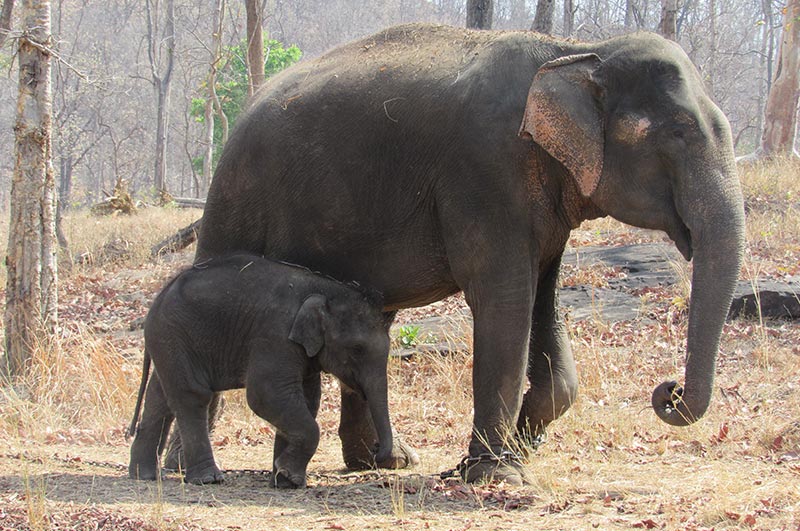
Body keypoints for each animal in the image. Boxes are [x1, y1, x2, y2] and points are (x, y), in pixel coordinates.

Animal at [126, 256, 392, 488]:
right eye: (357, 349)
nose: (377, 451)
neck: (324, 288)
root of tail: (157, 298)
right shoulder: (275, 334)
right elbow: (266, 394)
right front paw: (290, 477)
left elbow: (306, 398)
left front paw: (286, 480)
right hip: (173, 335)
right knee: (192, 396)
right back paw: (208, 479)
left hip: (168, 342)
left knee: (160, 398)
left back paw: (144, 475)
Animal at [197, 22, 748, 484]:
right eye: (678, 133)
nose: (669, 391)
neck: (575, 50)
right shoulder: (486, 173)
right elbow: (504, 302)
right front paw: (497, 475)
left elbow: (543, 301)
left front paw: (519, 447)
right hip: (234, 196)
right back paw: (192, 467)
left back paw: (382, 464)